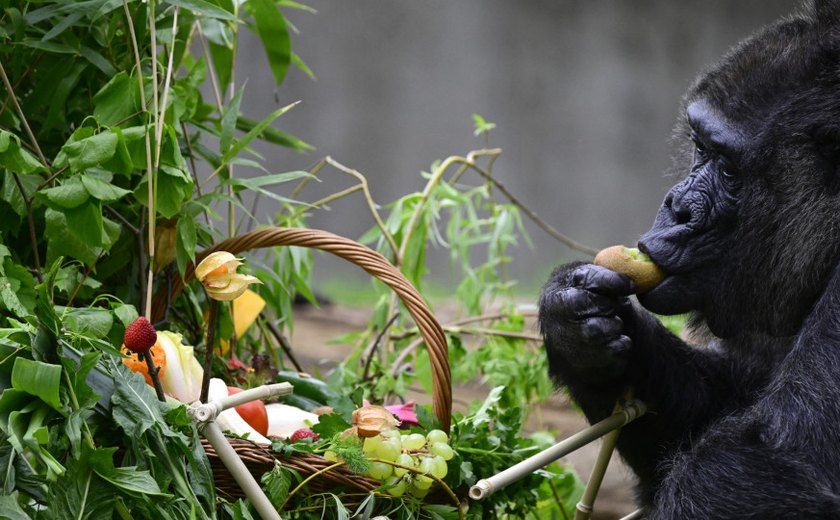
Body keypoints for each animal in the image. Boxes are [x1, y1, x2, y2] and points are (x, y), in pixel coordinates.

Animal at [540, 2, 840, 516]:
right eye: (700, 146)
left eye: (728, 169)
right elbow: (715, 407)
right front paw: (572, 320)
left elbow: (772, 463)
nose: (676, 206)